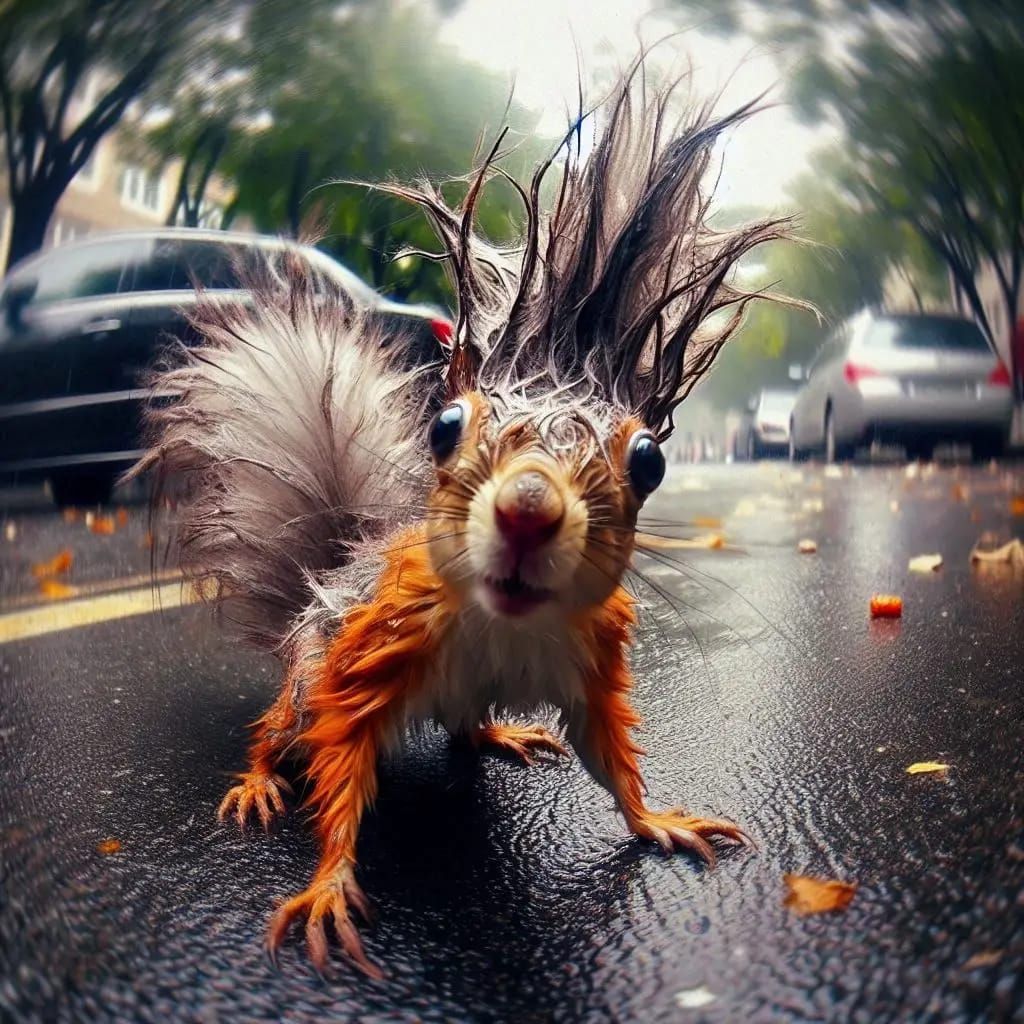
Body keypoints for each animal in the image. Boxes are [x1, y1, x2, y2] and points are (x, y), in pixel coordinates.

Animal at [134, 59, 790, 977]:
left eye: (650, 462)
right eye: (445, 427)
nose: (527, 511)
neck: (504, 626)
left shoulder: (588, 667)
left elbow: (612, 758)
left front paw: (657, 819)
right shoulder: (373, 653)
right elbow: (343, 767)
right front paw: (329, 882)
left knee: (464, 727)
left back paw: (500, 736)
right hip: (310, 664)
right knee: (285, 723)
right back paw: (261, 776)